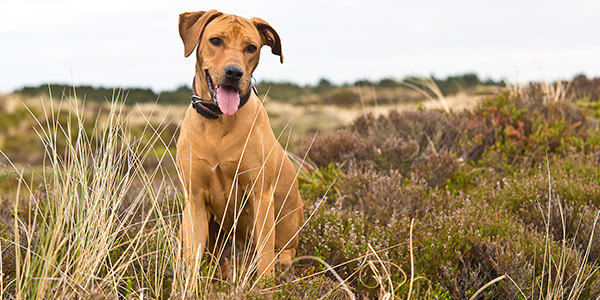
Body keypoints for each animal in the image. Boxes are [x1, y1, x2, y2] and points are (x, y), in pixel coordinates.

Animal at [176, 9, 302, 278]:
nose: (234, 73)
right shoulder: (195, 199)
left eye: (251, 47)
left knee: (280, 254)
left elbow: (265, 256)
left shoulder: (260, 195)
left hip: (286, 243)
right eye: (216, 41)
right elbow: (193, 258)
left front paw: (264, 285)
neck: (219, 122)